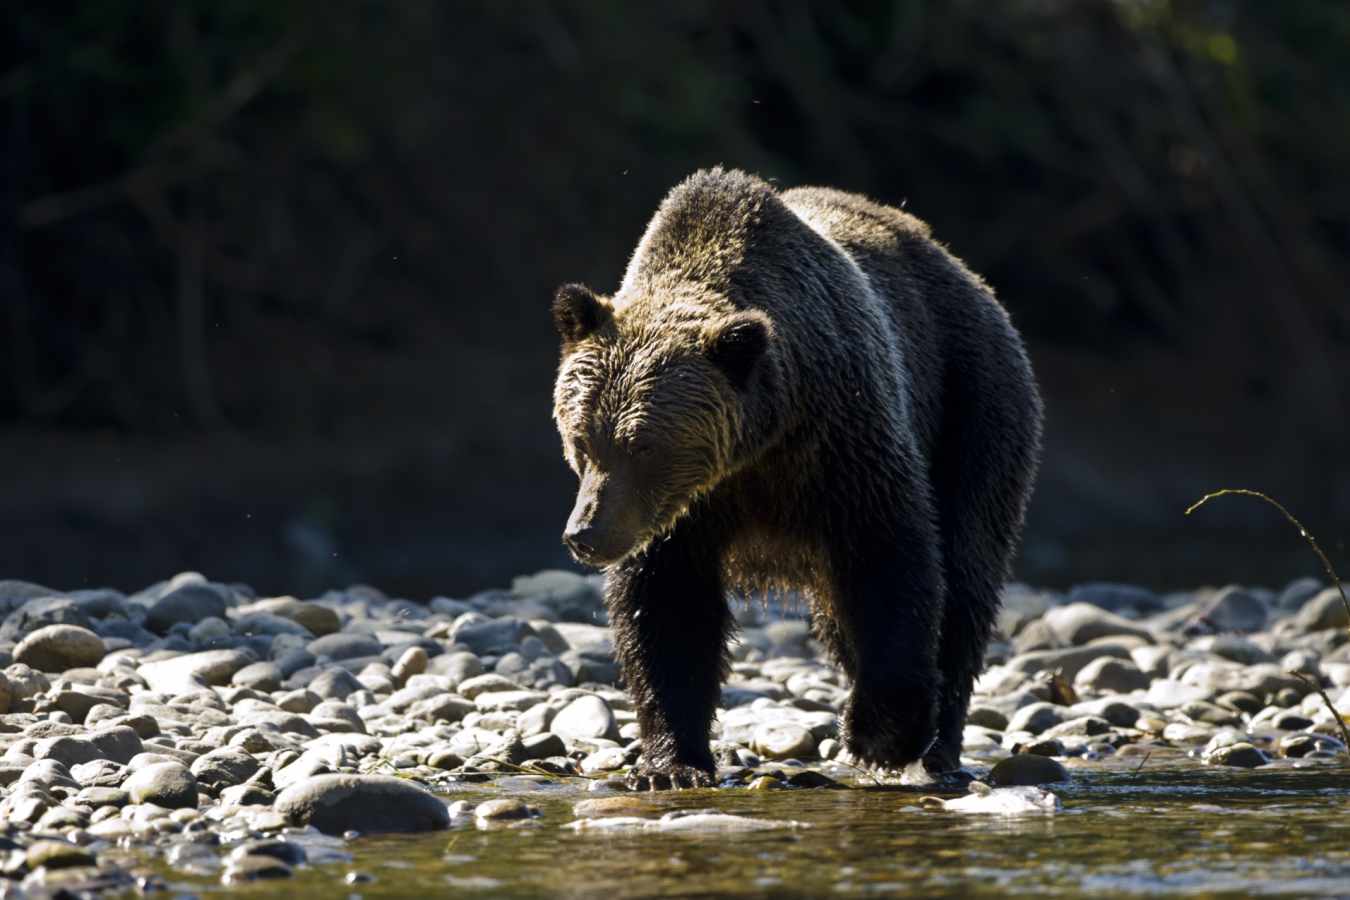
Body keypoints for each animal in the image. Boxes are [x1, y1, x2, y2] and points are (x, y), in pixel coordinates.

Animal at [551, 168, 1042, 788]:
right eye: (582, 440)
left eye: (644, 448)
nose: (585, 534)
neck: (756, 446)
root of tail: (963, 270)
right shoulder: (683, 515)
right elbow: (666, 607)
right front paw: (672, 763)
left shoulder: (843, 446)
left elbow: (891, 563)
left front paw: (880, 734)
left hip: (973, 402)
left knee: (966, 576)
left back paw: (939, 745)